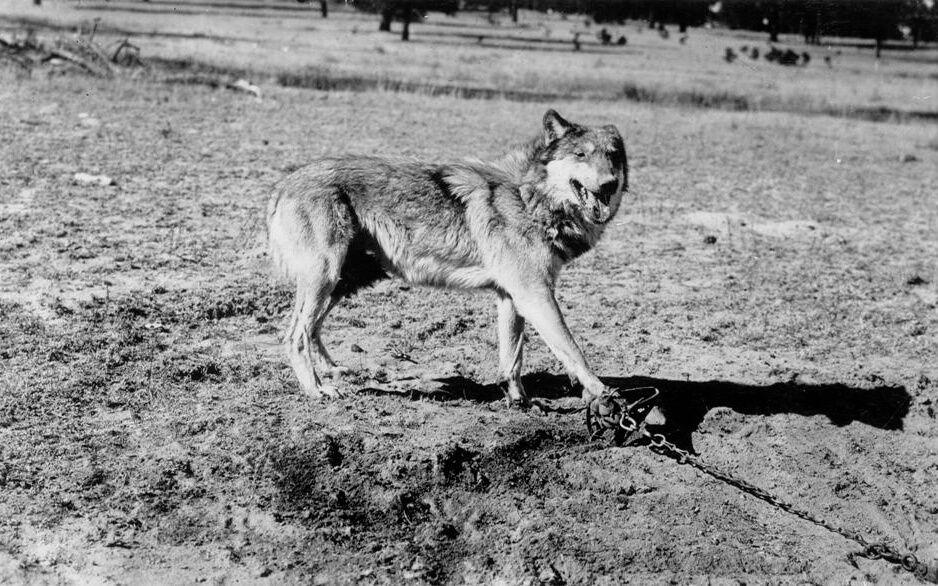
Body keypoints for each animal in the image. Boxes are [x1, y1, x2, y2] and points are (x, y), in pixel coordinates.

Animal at [267, 109, 628, 405]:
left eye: (613, 157)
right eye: (581, 154)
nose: (609, 184)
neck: (530, 198)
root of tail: (283, 184)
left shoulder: (511, 296)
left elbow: (512, 357)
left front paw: (520, 402)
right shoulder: (534, 293)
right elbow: (572, 348)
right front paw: (602, 393)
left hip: (345, 282)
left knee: (311, 328)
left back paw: (332, 370)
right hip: (327, 278)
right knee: (295, 335)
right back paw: (316, 389)